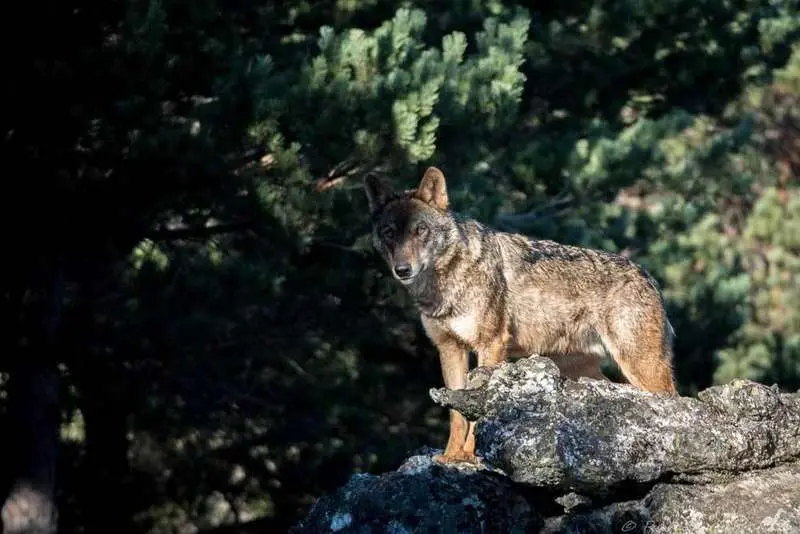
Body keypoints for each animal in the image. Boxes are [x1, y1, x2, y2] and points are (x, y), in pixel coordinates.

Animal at [364, 167, 678, 464]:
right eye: (389, 233)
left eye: (420, 230)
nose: (402, 269)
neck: (445, 285)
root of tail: (650, 278)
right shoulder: (450, 348)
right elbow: (457, 414)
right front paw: (452, 457)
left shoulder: (491, 344)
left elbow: (478, 413)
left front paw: (473, 455)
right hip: (588, 375)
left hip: (642, 370)